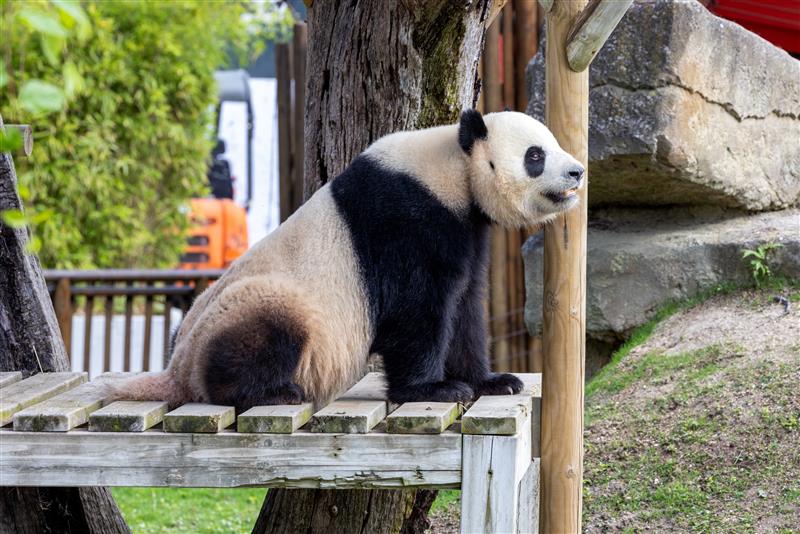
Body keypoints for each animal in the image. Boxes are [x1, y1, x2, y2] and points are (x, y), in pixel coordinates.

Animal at [113, 110, 584, 411]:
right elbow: (417, 309)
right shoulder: (407, 219)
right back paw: (270, 392)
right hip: (257, 306)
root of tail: (175, 370)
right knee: (265, 326)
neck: (454, 168)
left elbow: (465, 305)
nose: (577, 172)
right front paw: (435, 389)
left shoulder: (466, 228)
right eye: (536, 155)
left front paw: (493, 382)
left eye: (553, 144)